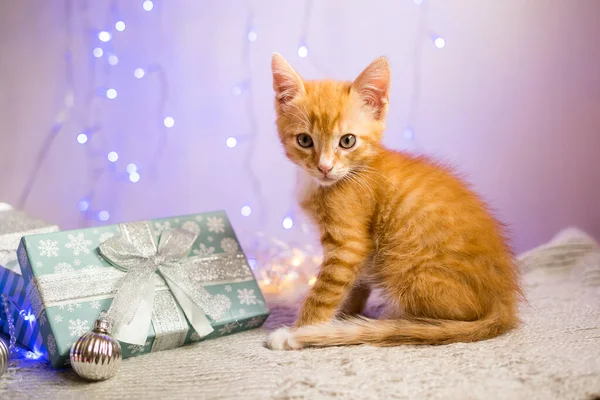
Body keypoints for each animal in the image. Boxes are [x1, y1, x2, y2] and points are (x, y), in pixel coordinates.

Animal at [266, 54, 520, 350]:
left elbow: (323, 293)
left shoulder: (349, 244)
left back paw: (396, 323)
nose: (324, 167)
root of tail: (503, 303)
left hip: (404, 266)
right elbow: (354, 285)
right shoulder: (359, 254)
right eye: (305, 140)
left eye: (347, 140)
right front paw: (345, 314)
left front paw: (301, 331)